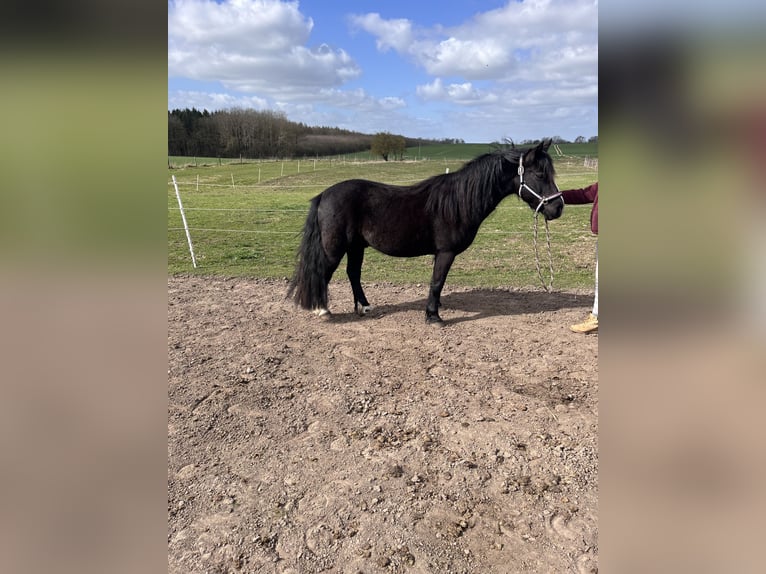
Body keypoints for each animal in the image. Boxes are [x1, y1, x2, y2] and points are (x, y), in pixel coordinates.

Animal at [287, 139, 564, 324]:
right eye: (540, 174)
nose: (558, 207)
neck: (458, 201)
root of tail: (324, 195)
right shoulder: (445, 252)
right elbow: (437, 281)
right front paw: (433, 316)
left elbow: (437, 283)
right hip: (334, 248)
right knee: (324, 272)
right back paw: (322, 309)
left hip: (356, 246)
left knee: (353, 273)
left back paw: (364, 307)